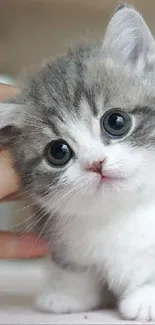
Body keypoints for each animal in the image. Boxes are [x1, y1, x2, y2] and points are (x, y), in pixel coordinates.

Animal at [1, 3, 155, 320]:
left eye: (116, 121)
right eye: (58, 152)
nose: (96, 163)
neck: (121, 211)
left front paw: (146, 298)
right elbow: (77, 269)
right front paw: (67, 294)